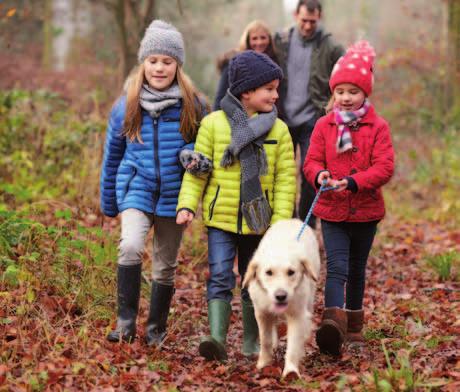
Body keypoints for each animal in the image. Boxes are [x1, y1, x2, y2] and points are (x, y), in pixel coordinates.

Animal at [241, 219, 320, 378]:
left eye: (291, 272)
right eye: (268, 272)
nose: (281, 296)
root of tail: (293, 220)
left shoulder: (297, 314)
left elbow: (293, 345)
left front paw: (291, 371)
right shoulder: (262, 312)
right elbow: (265, 339)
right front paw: (263, 364)